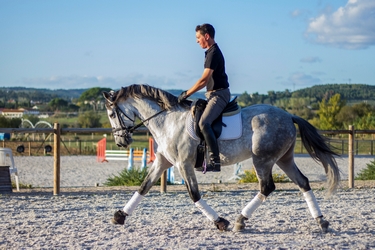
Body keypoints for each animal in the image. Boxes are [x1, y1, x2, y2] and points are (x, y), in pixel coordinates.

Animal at [103, 84, 340, 232]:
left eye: (112, 114)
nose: (121, 142)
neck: (167, 120)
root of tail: (289, 116)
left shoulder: (183, 164)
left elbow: (194, 194)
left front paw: (220, 222)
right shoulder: (164, 161)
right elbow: (143, 186)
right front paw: (119, 216)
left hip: (262, 159)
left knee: (267, 187)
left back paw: (240, 221)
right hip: (284, 159)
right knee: (303, 182)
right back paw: (321, 221)